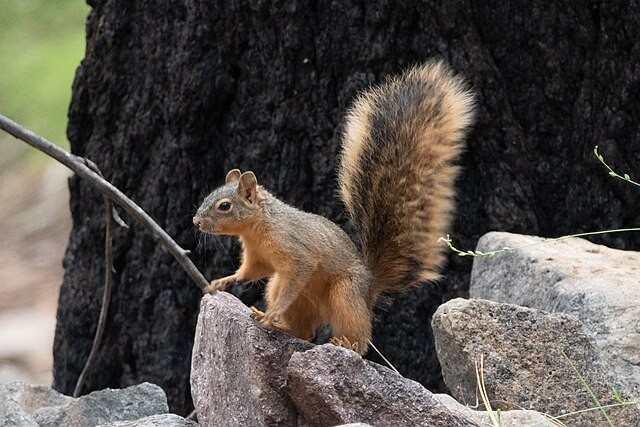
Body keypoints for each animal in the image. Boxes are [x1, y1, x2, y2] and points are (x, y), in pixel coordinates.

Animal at [193, 60, 475, 354]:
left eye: (224, 206)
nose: (196, 222)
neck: (257, 228)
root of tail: (369, 290)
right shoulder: (258, 258)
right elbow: (250, 272)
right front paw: (225, 281)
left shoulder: (296, 251)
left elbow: (299, 270)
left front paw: (273, 312)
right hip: (287, 292)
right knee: (304, 331)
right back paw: (280, 325)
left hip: (345, 295)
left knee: (357, 338)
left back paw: (343, 342)